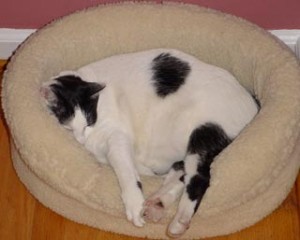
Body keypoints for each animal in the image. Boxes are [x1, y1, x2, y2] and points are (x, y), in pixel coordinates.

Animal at [41, 47, 258, 237]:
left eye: (87, 123)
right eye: (68, 128)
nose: (81, 139)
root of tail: (255, 105)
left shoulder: (117, 136)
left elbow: (125, 169)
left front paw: (134, 202)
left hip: (203, 133)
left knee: (200, 177)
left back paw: (179, 220)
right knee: (182, 170)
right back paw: (158, 202)